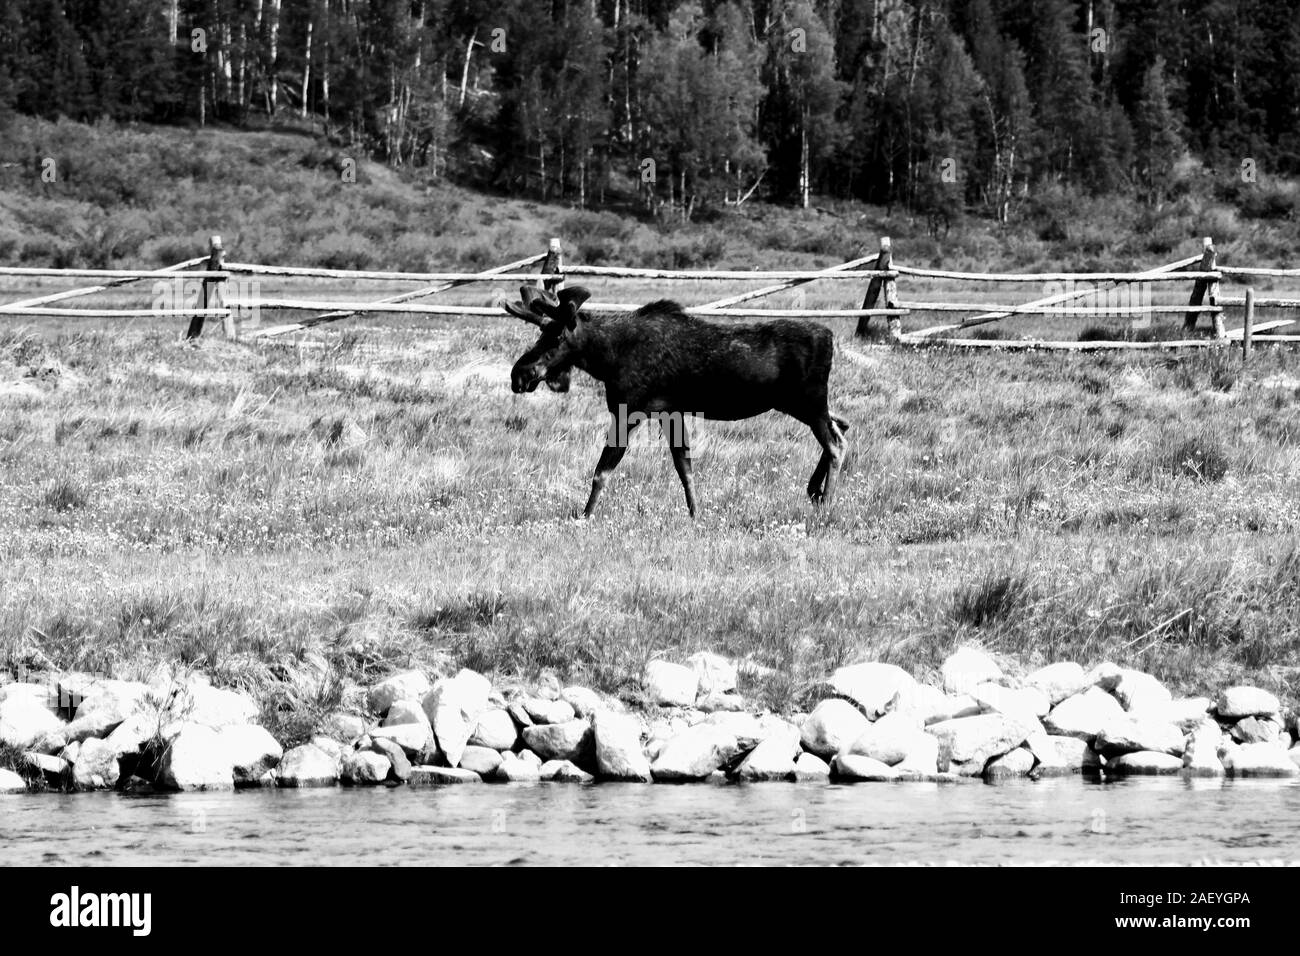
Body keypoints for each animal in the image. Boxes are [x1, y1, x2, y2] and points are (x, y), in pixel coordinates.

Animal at [501, 286, 847, 515]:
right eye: (541, 333)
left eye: (558, 336)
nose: (520, 373)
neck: (607, 358)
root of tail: (831, 336)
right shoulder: (671, 412)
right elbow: (685, 469)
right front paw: (695, 515)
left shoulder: (630, 410)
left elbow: (602, 471)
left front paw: (585, 516)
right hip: (796, 404)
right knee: (842, 426)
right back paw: (814, 491)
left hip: (809, 401)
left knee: (834, 443)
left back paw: (827, 503)